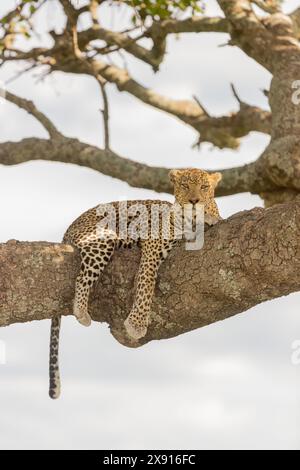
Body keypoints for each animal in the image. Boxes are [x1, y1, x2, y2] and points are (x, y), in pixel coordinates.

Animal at [49, 167, 221, 398]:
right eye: (185, 186)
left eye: (204, 187)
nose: (194, 201)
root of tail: (69, 228)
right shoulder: (154, 244)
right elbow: (146, 281)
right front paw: (137, 324)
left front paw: (210, 216)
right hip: (103, 237)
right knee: (82, 277)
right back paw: (82, 312)